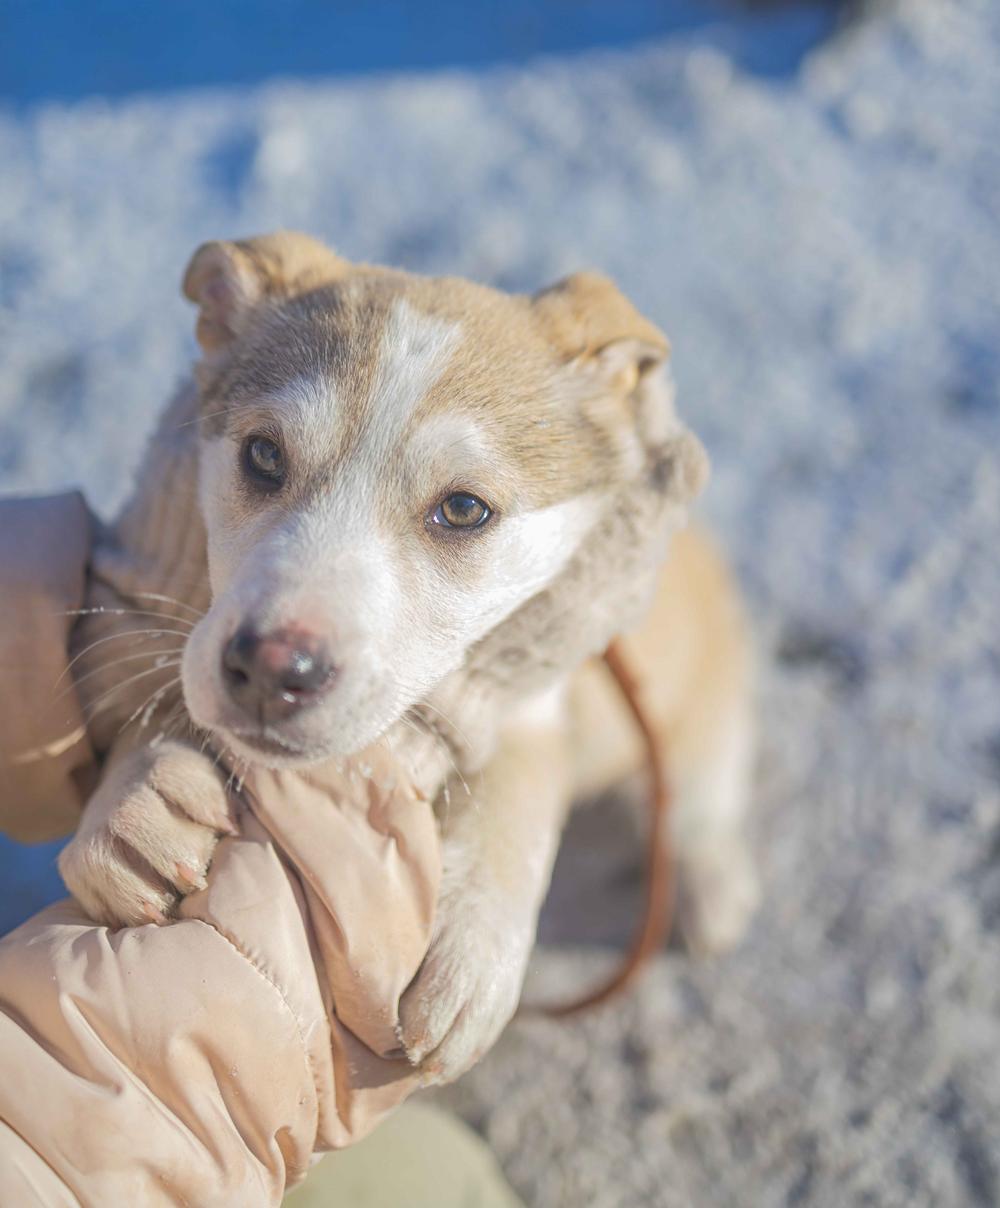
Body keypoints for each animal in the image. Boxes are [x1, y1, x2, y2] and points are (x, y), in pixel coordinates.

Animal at [60, 230, 758, 1082]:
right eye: (262, 455)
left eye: (462, 509)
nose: (271, 670)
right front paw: (136, 803)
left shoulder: (532, 701)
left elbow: (517, 797)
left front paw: (473, 955)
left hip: (695, 717)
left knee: (701, 796)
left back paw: (714, 885)